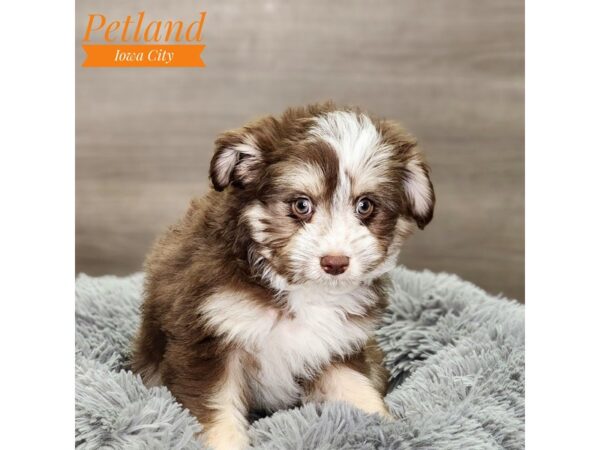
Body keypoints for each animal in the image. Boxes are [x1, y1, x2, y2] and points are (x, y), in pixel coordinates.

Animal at [131, 102, 434, 450]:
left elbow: (356, 389)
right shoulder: (207, 341)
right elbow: (218, 410)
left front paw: (388, 428)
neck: (299, 290)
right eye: (301, 205)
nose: (335, 262)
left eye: (365, 205)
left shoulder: (336, 346)